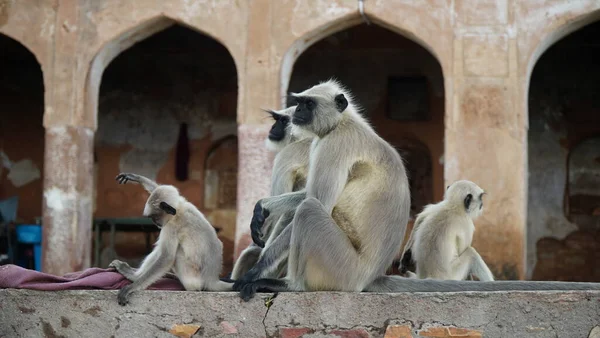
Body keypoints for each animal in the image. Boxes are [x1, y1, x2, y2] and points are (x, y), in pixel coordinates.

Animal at [109, 173, 231, 304]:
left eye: (155, 217)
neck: (179, 210)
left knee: (173, 251)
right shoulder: (183, 201)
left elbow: (167, 257)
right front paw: (136, 177)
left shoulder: (171, 226)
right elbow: (161, 188)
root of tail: (212, 279)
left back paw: (134, 276)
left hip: (191, 279)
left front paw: (132, 287)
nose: (155, 223)